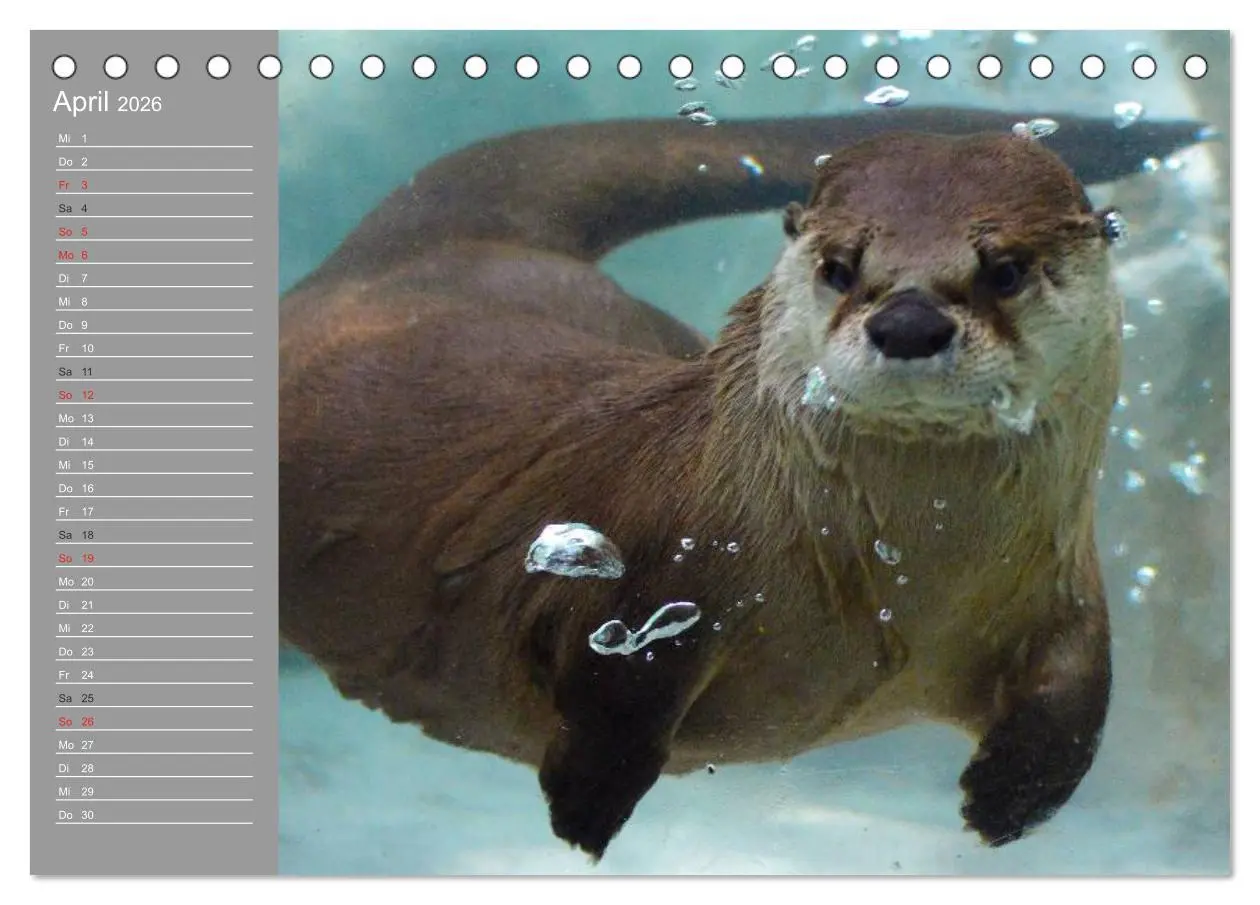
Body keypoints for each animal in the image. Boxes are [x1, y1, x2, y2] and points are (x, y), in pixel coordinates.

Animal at [278, 109, 1205, 861]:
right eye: (840, 266)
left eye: (1005, 268)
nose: (908, 321)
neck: (903, 584)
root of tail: (415, 258)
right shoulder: (652, 568)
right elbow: (614, 684)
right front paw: (587, 802)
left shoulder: (1062, 587)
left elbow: (1080, 694)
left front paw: (1008, 799)